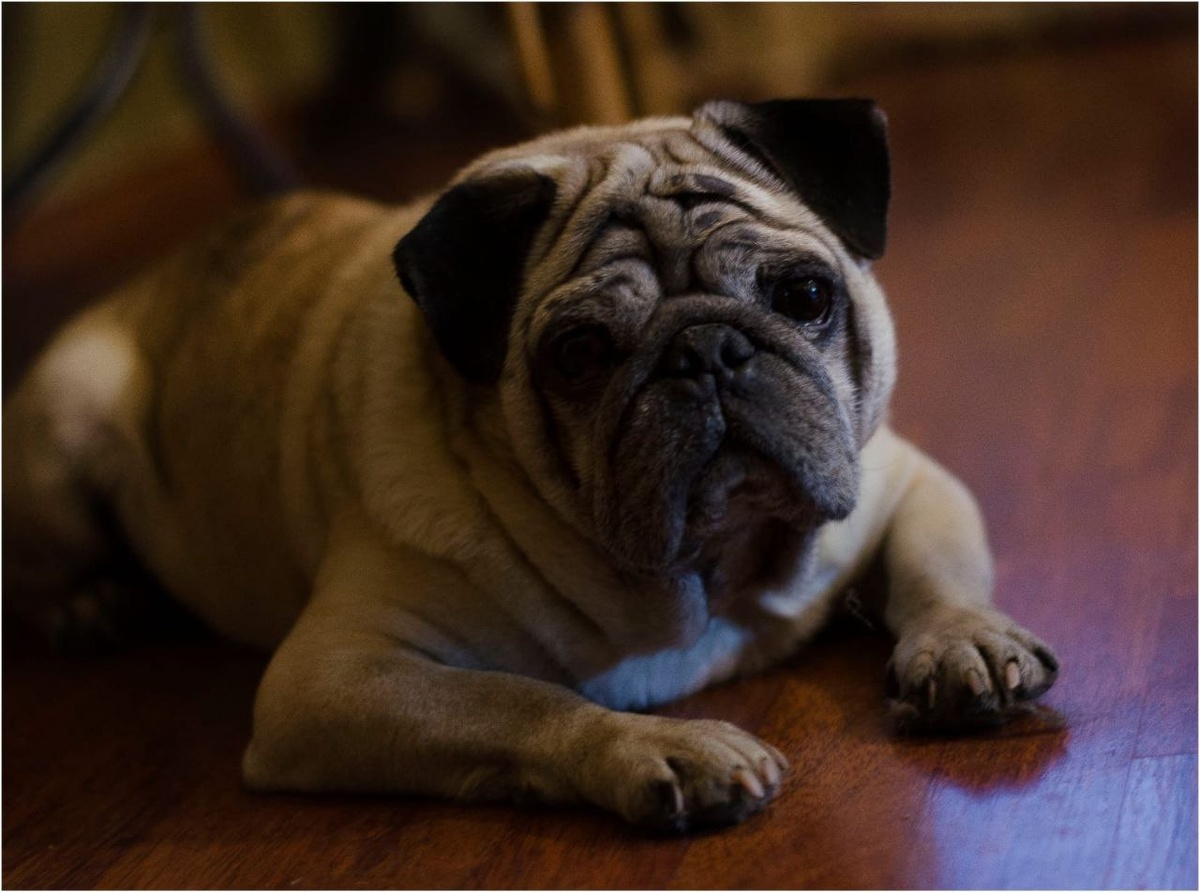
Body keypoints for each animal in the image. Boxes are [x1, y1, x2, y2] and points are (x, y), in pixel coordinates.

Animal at [3, 98, 1058, 832]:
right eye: (580, 354)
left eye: (803, 295)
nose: (706, 352)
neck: (708, 576)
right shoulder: (333, 678)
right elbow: (521, 702)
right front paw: (660, 750)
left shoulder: (902, 479)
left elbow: (936, 573)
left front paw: (961, 639)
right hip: (71, 414)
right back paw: (90, 602)